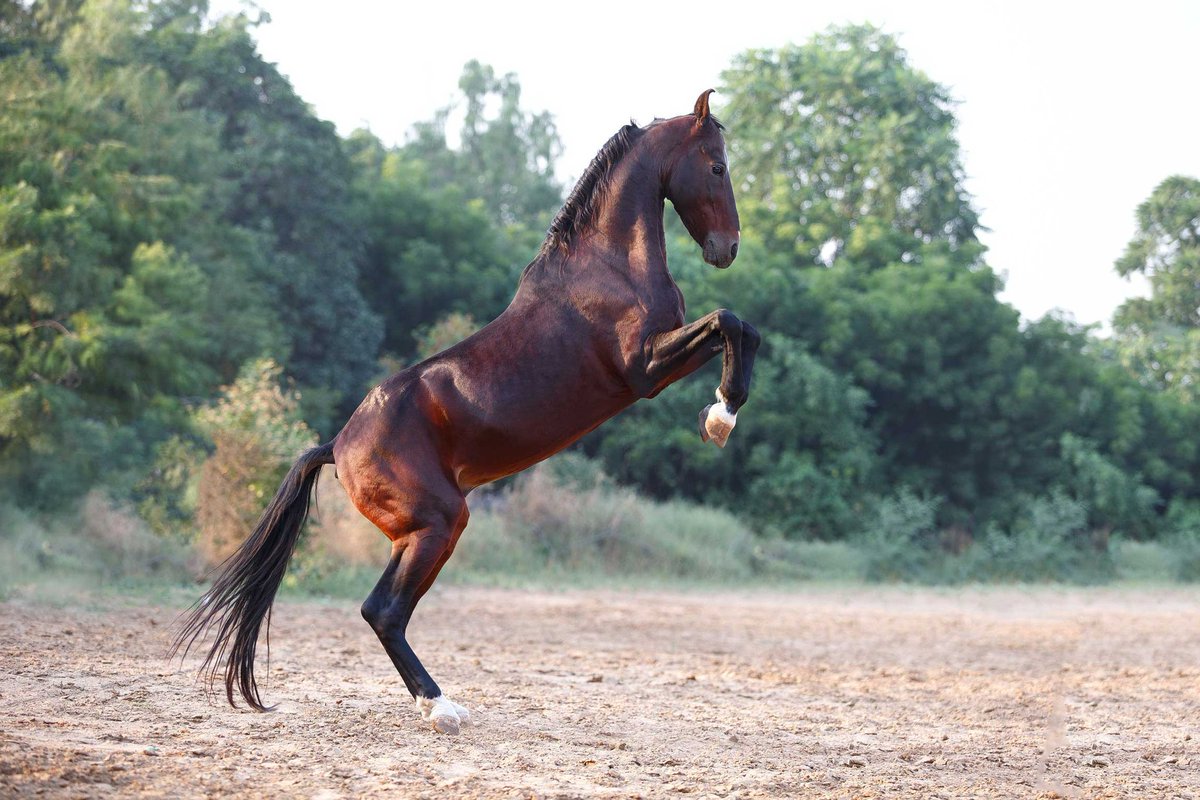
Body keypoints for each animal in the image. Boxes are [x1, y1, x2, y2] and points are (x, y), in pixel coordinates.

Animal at [174, 89, 760, 735]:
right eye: (717, 167)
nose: (728, 249)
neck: (608, 266)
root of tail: (337, 445)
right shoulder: (644, 368)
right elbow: (729, 321)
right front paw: (721, 416)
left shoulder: (660, 359)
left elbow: (742, 328)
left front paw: (721, 411)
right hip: (437, 523)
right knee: (383, 611)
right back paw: (441, 708)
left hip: (423, 532)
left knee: (383, 610)